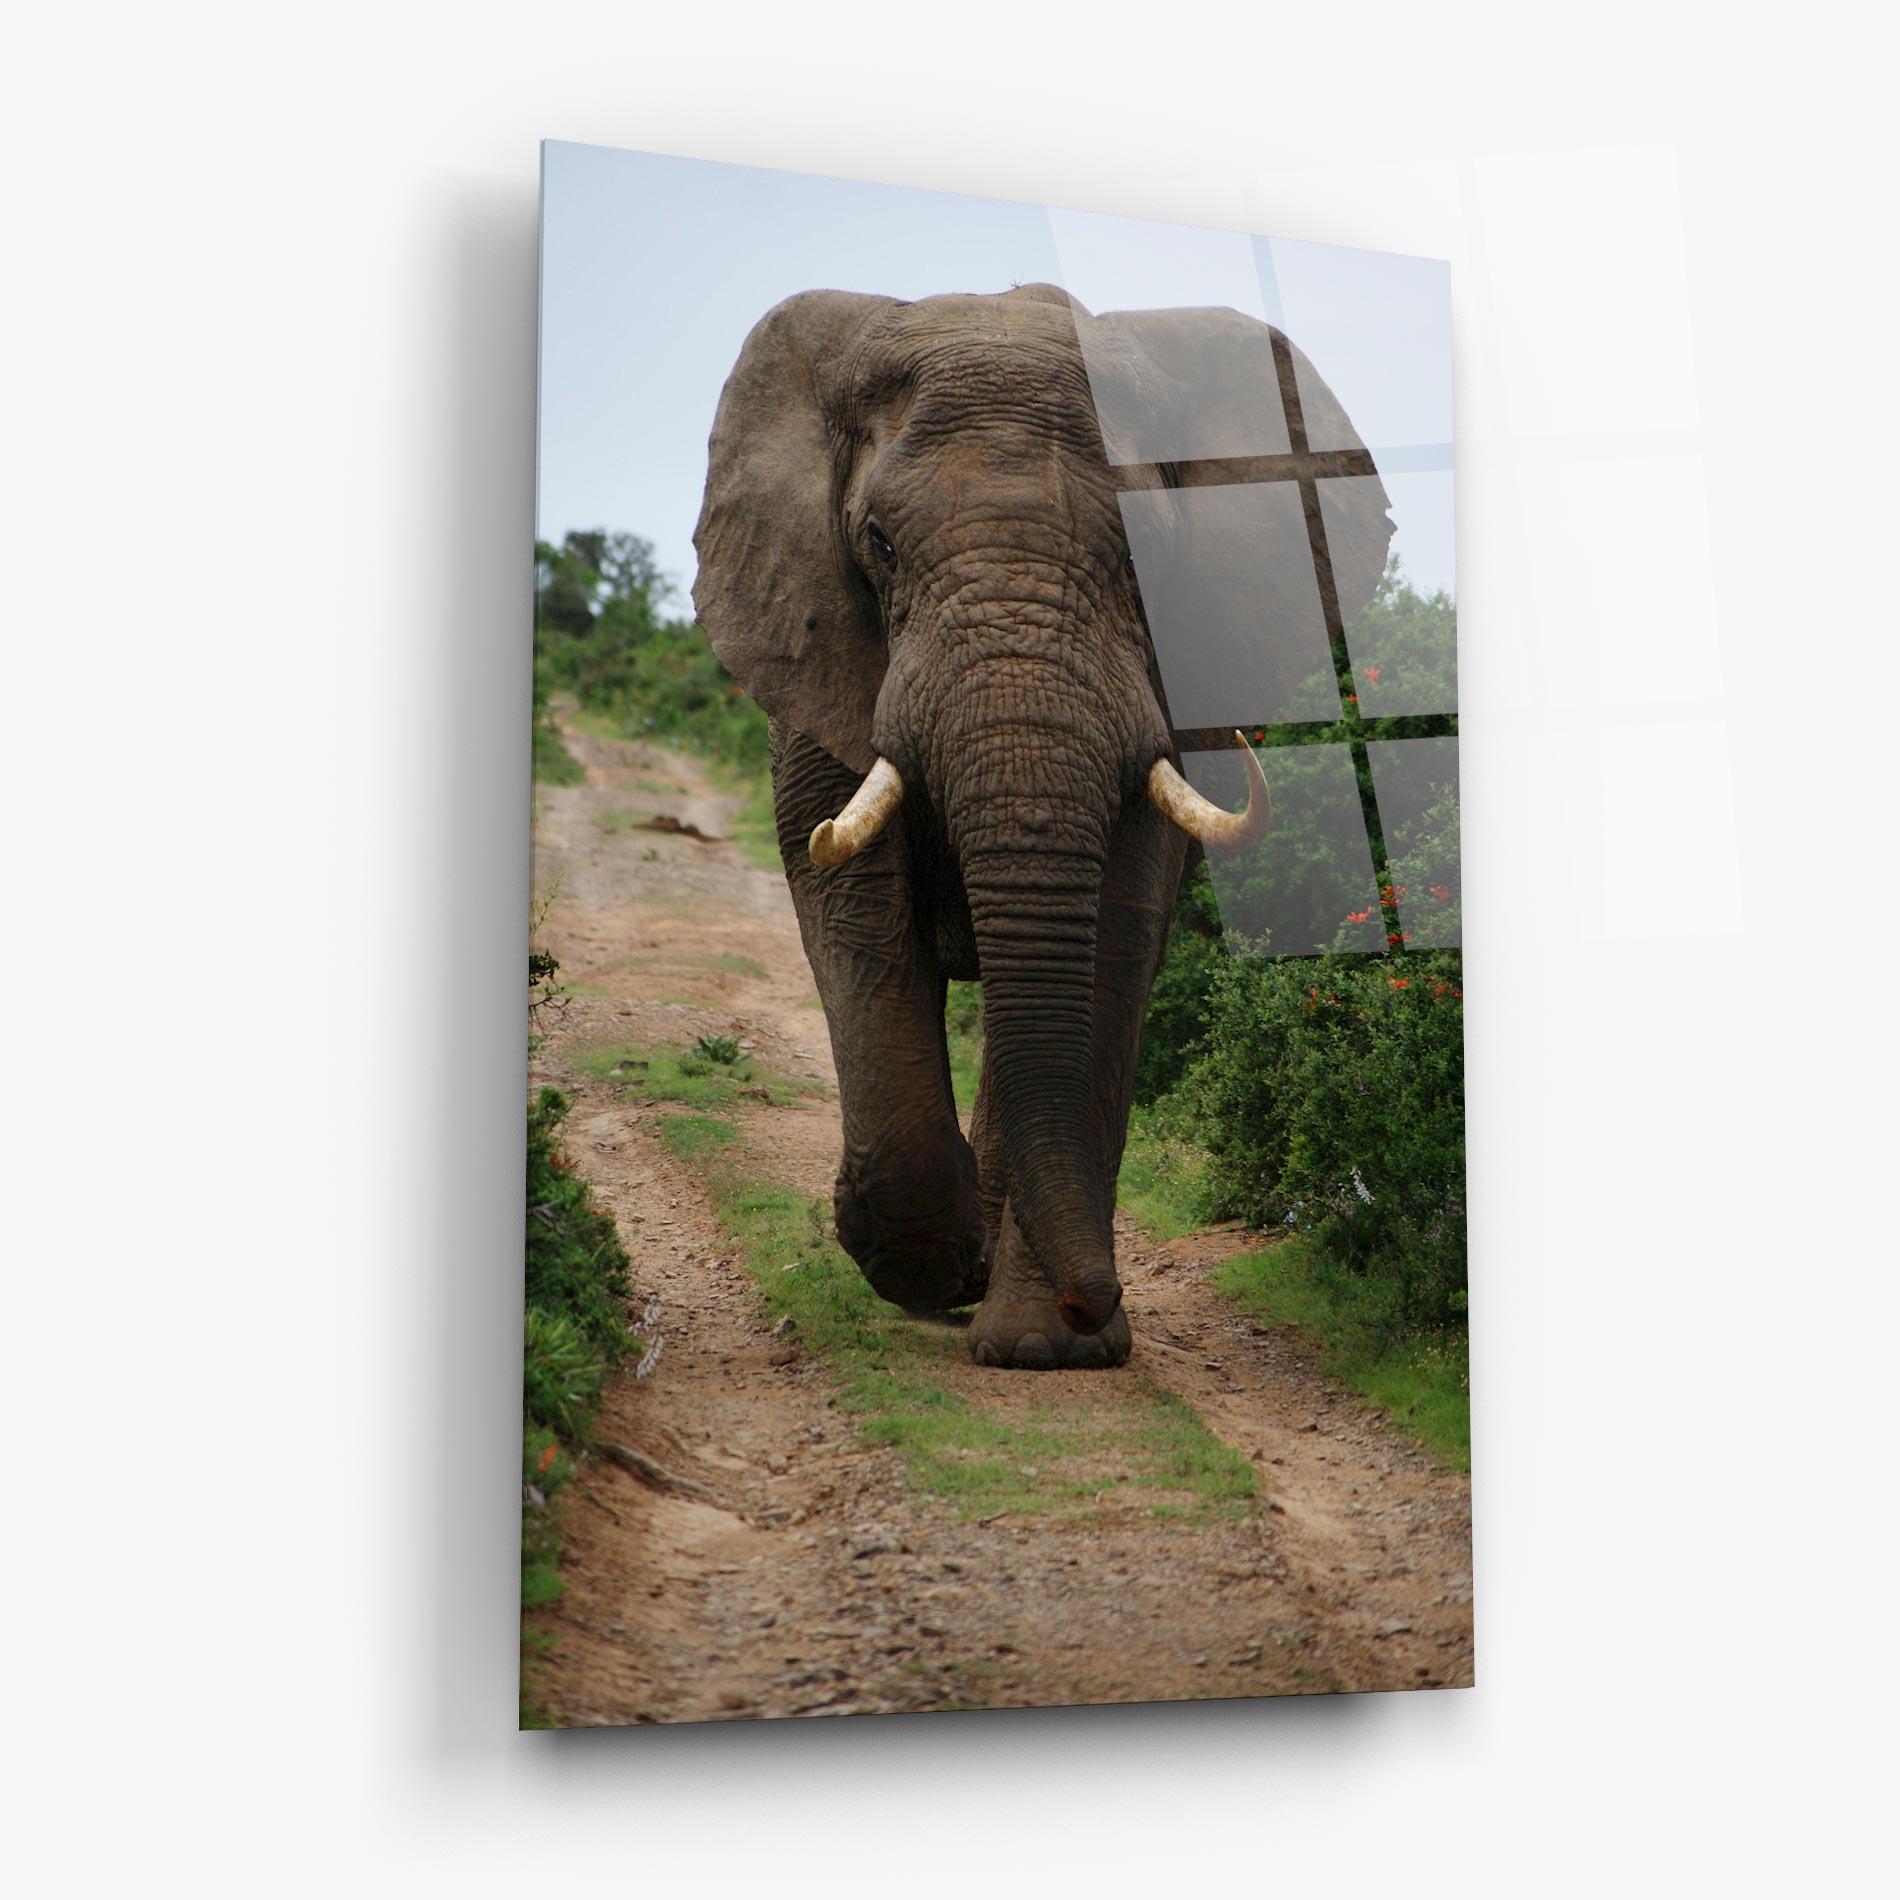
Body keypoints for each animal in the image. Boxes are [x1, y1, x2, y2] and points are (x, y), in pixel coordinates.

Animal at [693, 283, 1392, 1368]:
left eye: (1148, 551)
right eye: (877, 544)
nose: (1097, 1297)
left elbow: (1113, 934)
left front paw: (1044, 1348)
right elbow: (851, 906)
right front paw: (920, 1266)